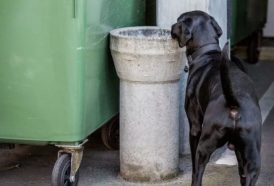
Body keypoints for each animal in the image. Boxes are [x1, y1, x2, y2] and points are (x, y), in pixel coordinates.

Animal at [171, 10, 262, 185]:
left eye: (179, 20)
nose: (172, 26)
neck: (207, 52)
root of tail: (234, 104)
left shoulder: (195, 127)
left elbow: (194, 167)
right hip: (253, 157)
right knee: (248, 174)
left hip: (204, 145)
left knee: (198, 173)